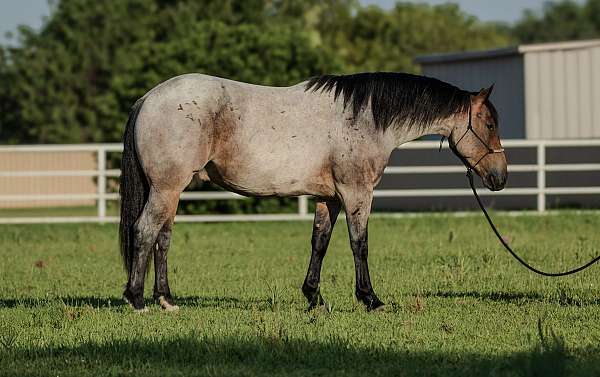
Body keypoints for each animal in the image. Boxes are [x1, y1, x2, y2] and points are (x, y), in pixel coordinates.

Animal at [119, 71, 508, 312]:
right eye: (489, 124)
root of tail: (148, 99)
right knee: (145, 231)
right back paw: (136, 300)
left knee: (163, 238)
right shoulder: (356, 193)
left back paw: (166, 300)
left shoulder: (329, 198)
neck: (364, 117)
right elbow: (359, 244)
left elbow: (319, 243)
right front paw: (370, 299)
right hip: (167, 188)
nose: (500, 177)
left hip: (172, 191)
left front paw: (314, 298)